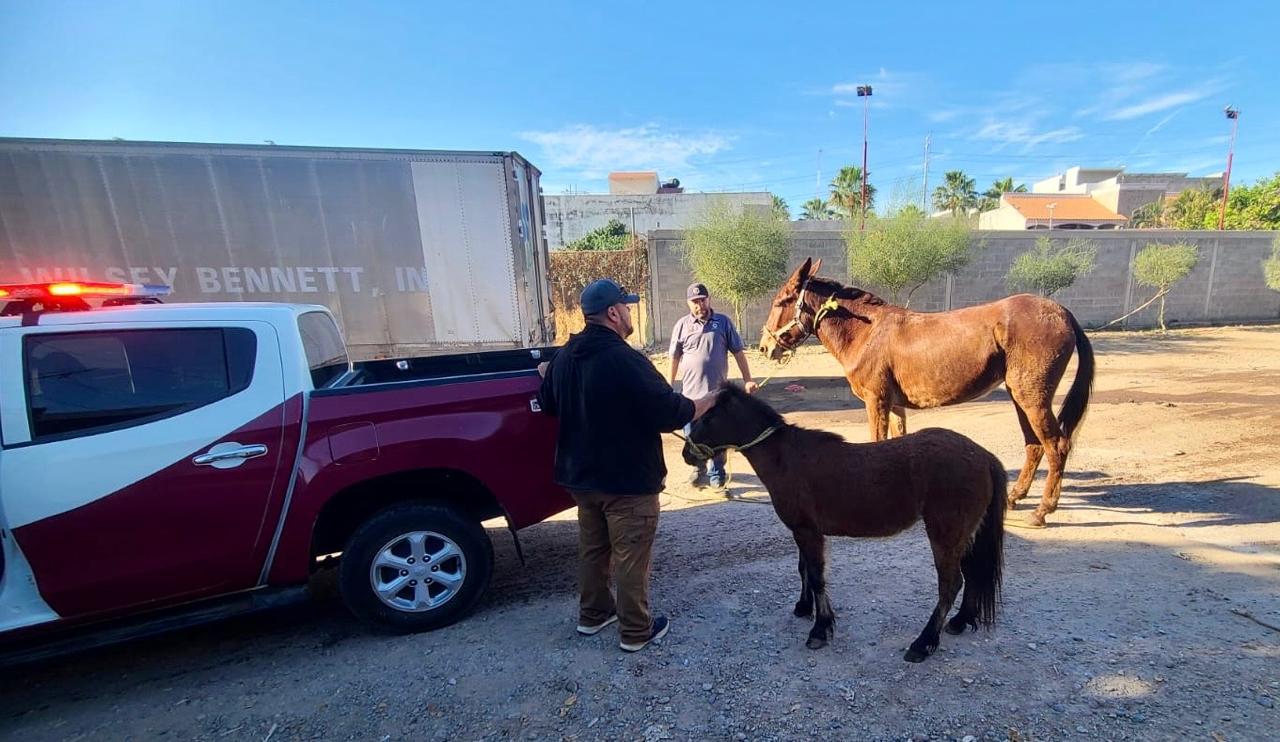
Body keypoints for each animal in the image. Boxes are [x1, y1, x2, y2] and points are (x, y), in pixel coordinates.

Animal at [683, 383, 1006, 662]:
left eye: (708, 417)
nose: (687, 454)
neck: (787, 458)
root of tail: (983, 457)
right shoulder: (803, 531)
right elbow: (803, 570)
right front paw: (804, 608)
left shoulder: (808, 532)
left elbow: (816, 577)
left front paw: (820, 629)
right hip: (963, 535)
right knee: (972, 574)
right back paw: (960, 622)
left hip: (945, 535)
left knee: (950, 584)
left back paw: (923, 643)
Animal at [758, 257, 1094, 528]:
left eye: (781, 301)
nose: (764, 347)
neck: (867, 332)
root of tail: (1062, 312)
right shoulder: (894, 406)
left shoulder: (876, 401)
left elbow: (877, 442)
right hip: (1020, 396)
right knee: (1034, 445)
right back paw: (1014, 498)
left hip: (1032, 397)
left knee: (1056, 446)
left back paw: (1042, 510)